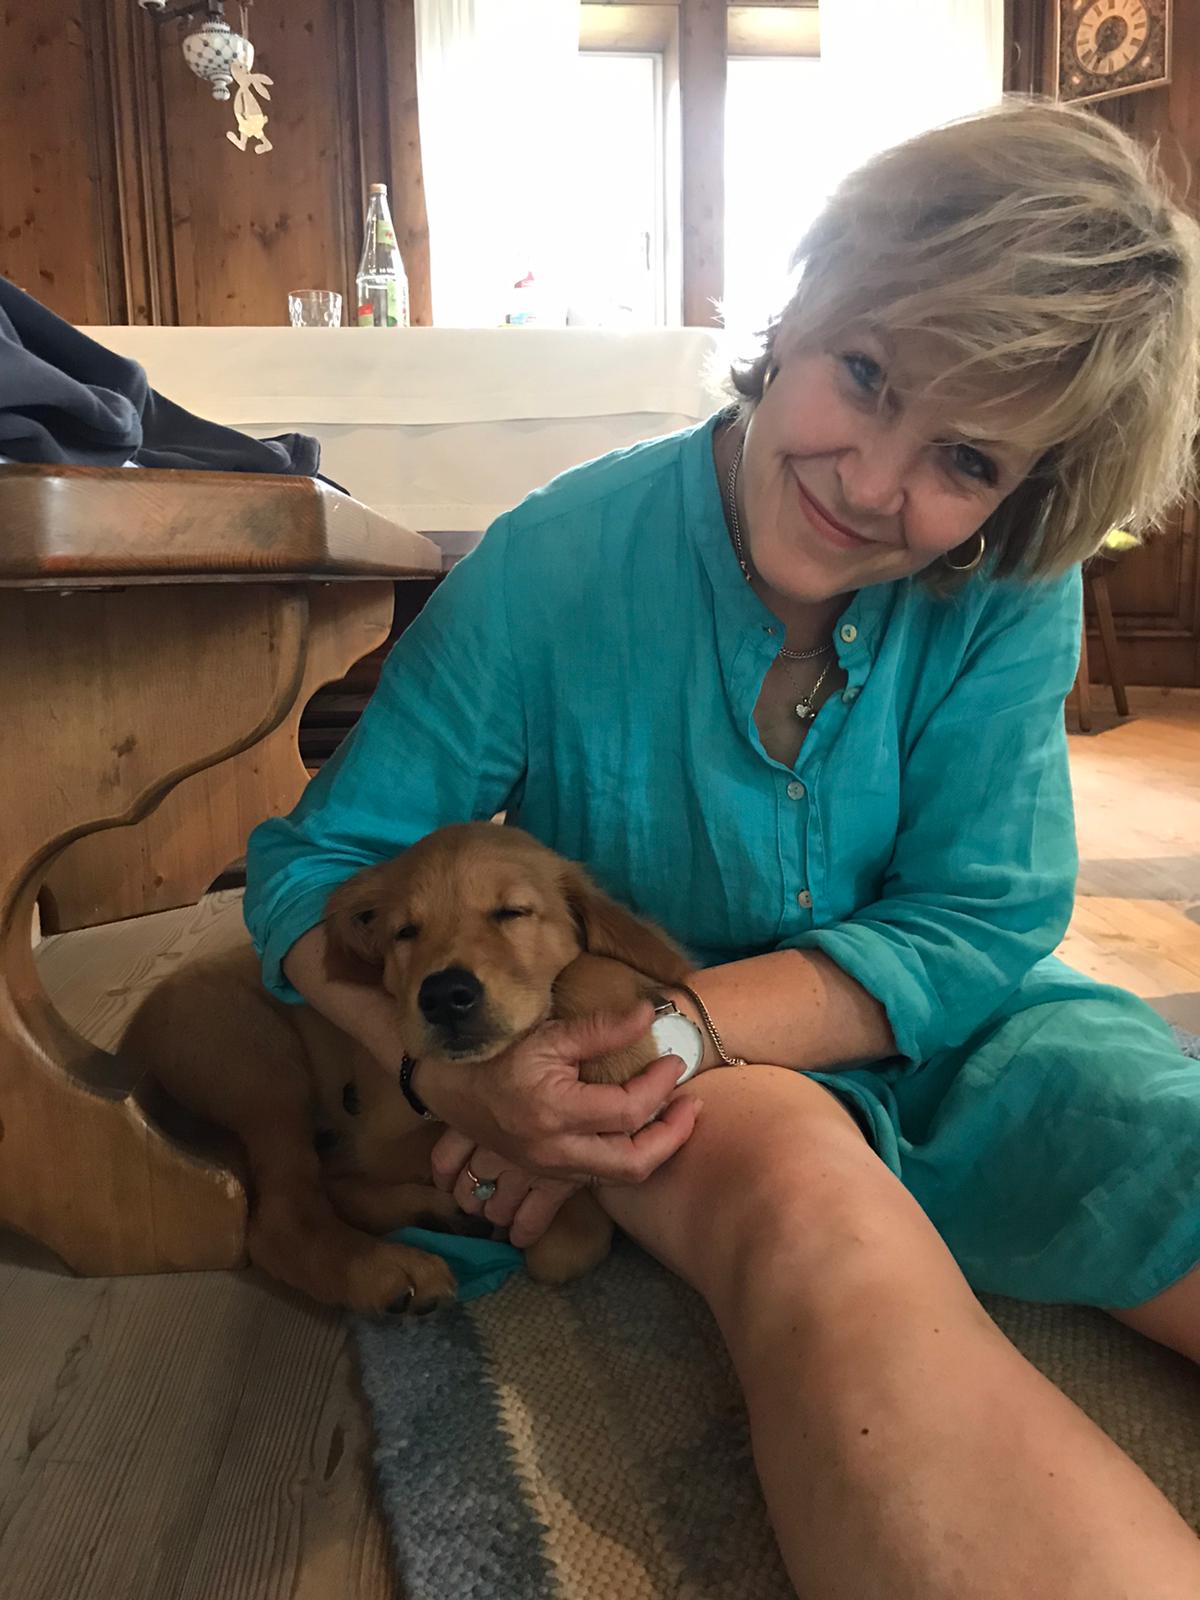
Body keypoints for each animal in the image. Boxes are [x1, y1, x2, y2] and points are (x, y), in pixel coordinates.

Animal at [121, 823, 693, 1315]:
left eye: (512, 912)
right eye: (405, 932)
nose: (445, 996)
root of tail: (132, 1037)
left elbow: (585, 967)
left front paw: (615, 1053)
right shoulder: (385, 1138)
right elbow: (564, 1223)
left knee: (326, 1180)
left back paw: (433, 1213)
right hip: (259, 1065)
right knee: (283, 1217)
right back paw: (386, 1270)